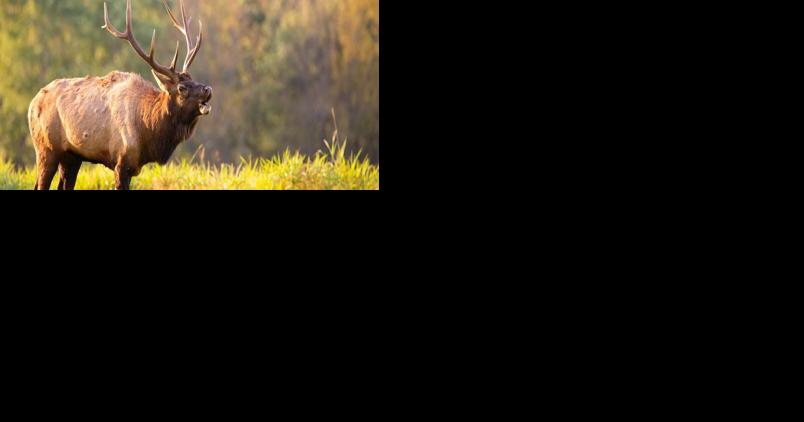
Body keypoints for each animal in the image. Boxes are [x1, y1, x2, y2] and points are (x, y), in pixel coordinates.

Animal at [28, 0, 212, 190]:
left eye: (193, 79)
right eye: (182, 88)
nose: (208, 89)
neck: (149, 130)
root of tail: (32, 103)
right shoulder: (122, 161)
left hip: (71, 156)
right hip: (45, 147)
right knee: (41, 183)